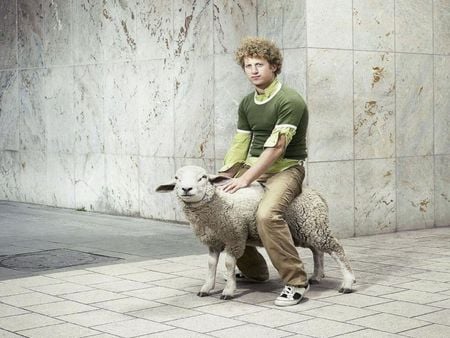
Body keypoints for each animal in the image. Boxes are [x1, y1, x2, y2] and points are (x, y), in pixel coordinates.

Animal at [156, 165, 356, 300]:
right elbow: (211, 264)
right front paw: (206, 288)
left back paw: (347, 282)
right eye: (177, 178)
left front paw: (228, 290)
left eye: (203, 177)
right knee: (317, 250)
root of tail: (316, 193)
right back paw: (317, 276)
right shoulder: (213, 241)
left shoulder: (235, 236)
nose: (186, 189)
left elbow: (228, 264)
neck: (217, 206)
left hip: (314, 225)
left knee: (335, 248)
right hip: (305, 228)